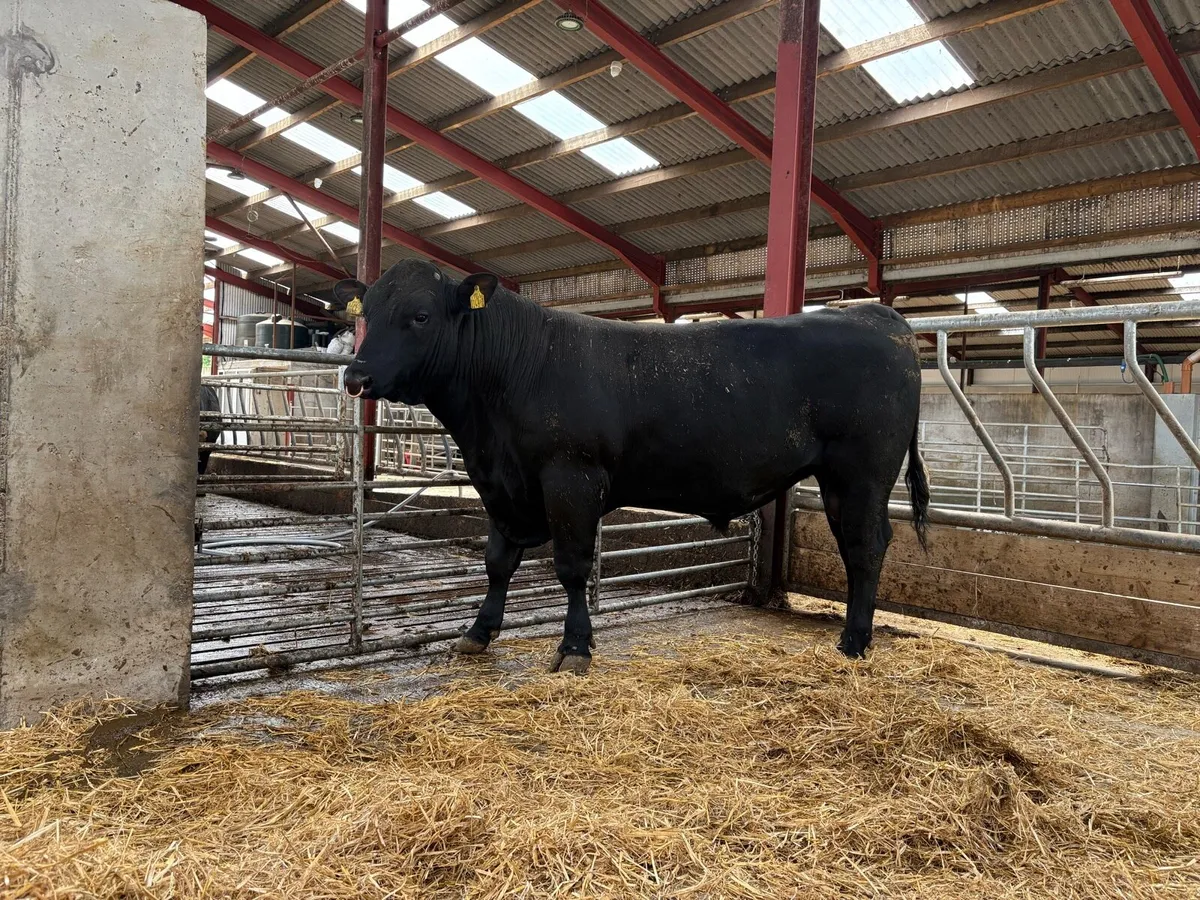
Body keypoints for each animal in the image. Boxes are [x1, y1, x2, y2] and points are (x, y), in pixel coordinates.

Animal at [335, 260, 929, 674]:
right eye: (366, 314)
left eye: (420, 315)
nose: (356, 375)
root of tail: (878, 315)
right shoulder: (502, 486)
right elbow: (498, 562)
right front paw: (479, 633)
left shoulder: (570, 478)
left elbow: (572, 566)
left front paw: (575, 647)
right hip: (841, 478)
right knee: (858, 546)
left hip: (862, 471)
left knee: (866, 547)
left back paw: (853, 643)